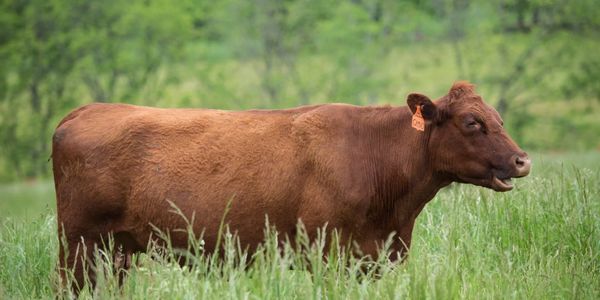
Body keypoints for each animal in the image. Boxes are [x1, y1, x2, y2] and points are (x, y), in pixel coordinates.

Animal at [51, 81, 528, 290]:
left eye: (499, 118)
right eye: (472, 122)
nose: (522, 160)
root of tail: (85, 110)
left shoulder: (380, 259)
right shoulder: (329, 256)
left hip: (115, 252)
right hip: (79, 246)